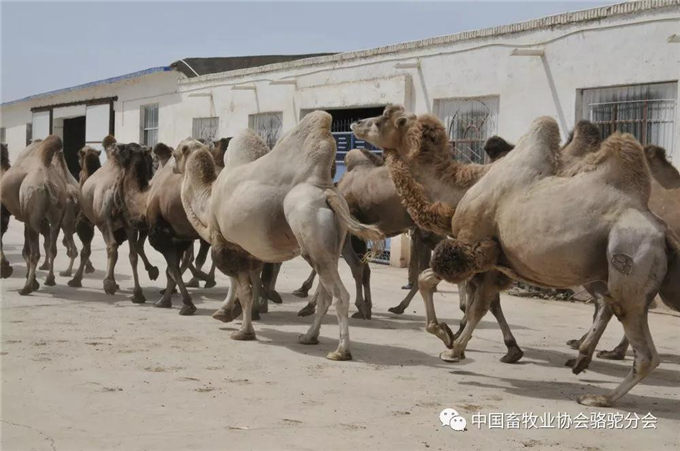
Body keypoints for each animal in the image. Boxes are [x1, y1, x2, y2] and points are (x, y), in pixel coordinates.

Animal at [0, 136, 67, 294]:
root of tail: (47, 182)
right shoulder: (25, 219)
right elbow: (26, 249)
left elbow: (25, 250)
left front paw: (5, 270)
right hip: (56, 217)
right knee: (52, 248)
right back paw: (50, 280)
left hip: (34, 217)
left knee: (35, 253)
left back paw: (26, 288)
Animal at [69, 138, 159, 300]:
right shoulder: (125, 226)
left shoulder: (86, 222)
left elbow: (86, 251)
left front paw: (76, 280)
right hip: (128, 224)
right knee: (132, 254)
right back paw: (138, 292)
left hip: (105, 221)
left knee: (112, 246)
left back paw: (109, 284)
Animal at [178, 112, 386, 360]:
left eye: (177, 151)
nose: (170, 166)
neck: (208, 201)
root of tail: (328, 193)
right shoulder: (245, 248)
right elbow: (243, 284)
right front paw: (229, 313)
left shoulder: (224, 243)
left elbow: (244, 289)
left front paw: (242, 330)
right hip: (331, 246)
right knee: (326, 294)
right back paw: (309, 336)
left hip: (309, 227)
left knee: (339, 295)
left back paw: (340, 350)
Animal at [372, 107, 680, 408]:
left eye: (383, 118)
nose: (360, 123)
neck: (464, 187)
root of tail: (662, 231)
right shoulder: (495, 261)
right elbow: (483, 303)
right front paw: (482, 344)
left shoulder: (477, 247)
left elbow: (460, 296)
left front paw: (452, 343)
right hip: (603, 266)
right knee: (609, 304)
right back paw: (582, 357)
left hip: (628, 254)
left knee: (638, 340)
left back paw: (600, 394)